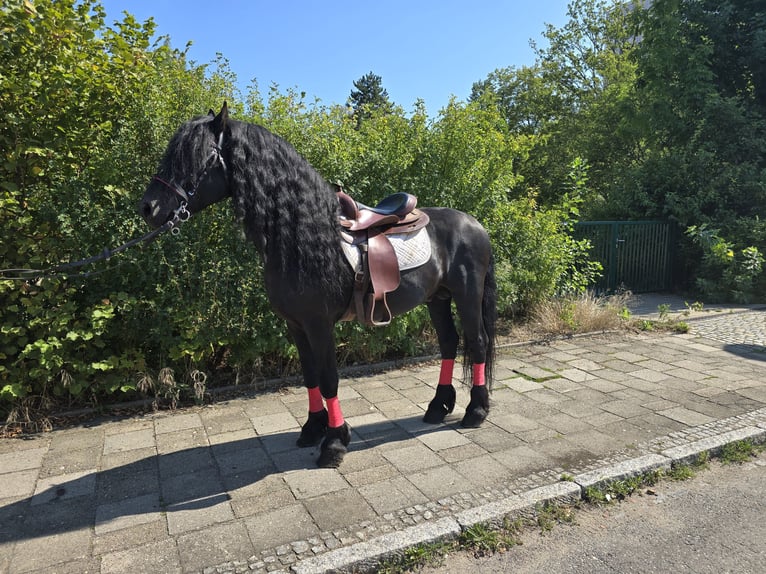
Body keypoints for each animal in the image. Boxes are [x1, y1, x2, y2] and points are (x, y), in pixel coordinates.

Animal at [141, 103, 498, 470]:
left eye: (196, 156)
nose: (148, 208)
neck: (301, 236)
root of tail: (476, 225)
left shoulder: (319, 324)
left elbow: (328, 378)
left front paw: (334, 443)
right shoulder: (295, 325)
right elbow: (310, 375)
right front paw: (313, 428)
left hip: (467, 295)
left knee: (478, 342)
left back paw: (475, 411)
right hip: (437, 299)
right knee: (449, 343)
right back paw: (438, 407)